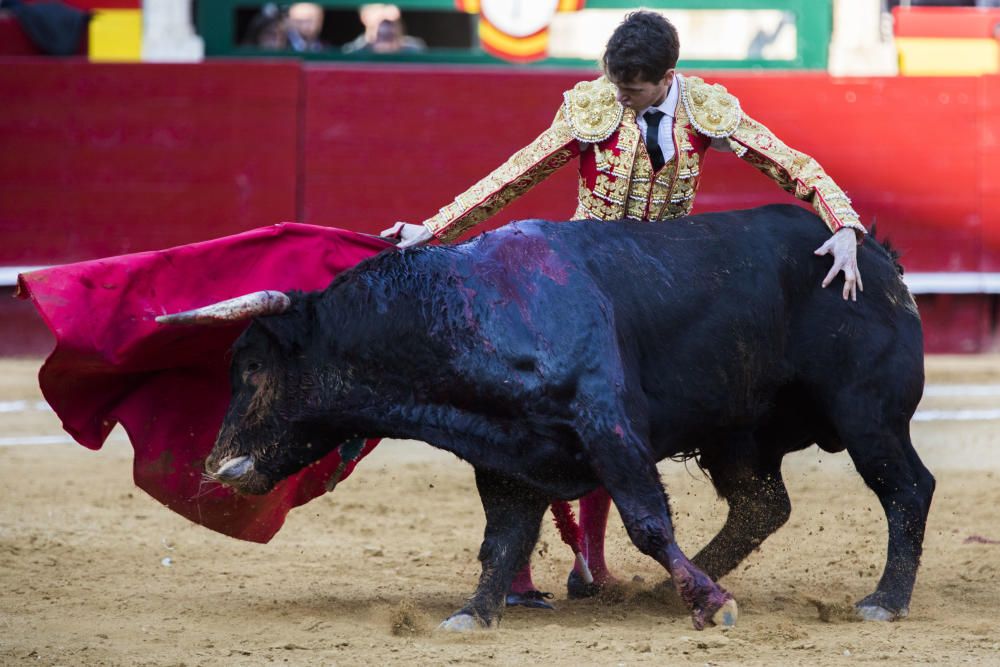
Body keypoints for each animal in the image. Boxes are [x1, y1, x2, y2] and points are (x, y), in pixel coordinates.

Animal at [156, 206, 928, 636]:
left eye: (253, 367)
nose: (217, 465)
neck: (462, 312)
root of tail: (876, 254)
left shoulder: (608, 425)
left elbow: (647, 521)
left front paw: (713, 608)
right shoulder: (507, 453)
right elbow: (501, 539)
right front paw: (474, 613)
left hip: (869, 417)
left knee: (906, 490)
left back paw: (884, 601)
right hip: (740, 435)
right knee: (763, 502)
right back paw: (668, 590)